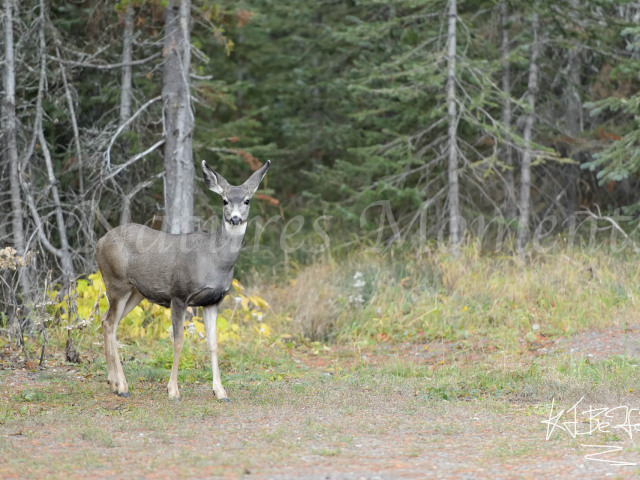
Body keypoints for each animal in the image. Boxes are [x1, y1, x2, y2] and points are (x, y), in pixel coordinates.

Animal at [96, 159, 272, 400]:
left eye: (247, 200)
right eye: (225, 200)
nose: (235, 218)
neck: (214, 260)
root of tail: (99, 242)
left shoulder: (212, 301)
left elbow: (214, 344)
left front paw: (220, 391)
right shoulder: (179, 294)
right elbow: (178, 342)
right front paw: (173, 390)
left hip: (135, 292)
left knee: (106, 321)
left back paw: (112, 382)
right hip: (116, 283)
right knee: (111, 323)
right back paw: (122, 386)